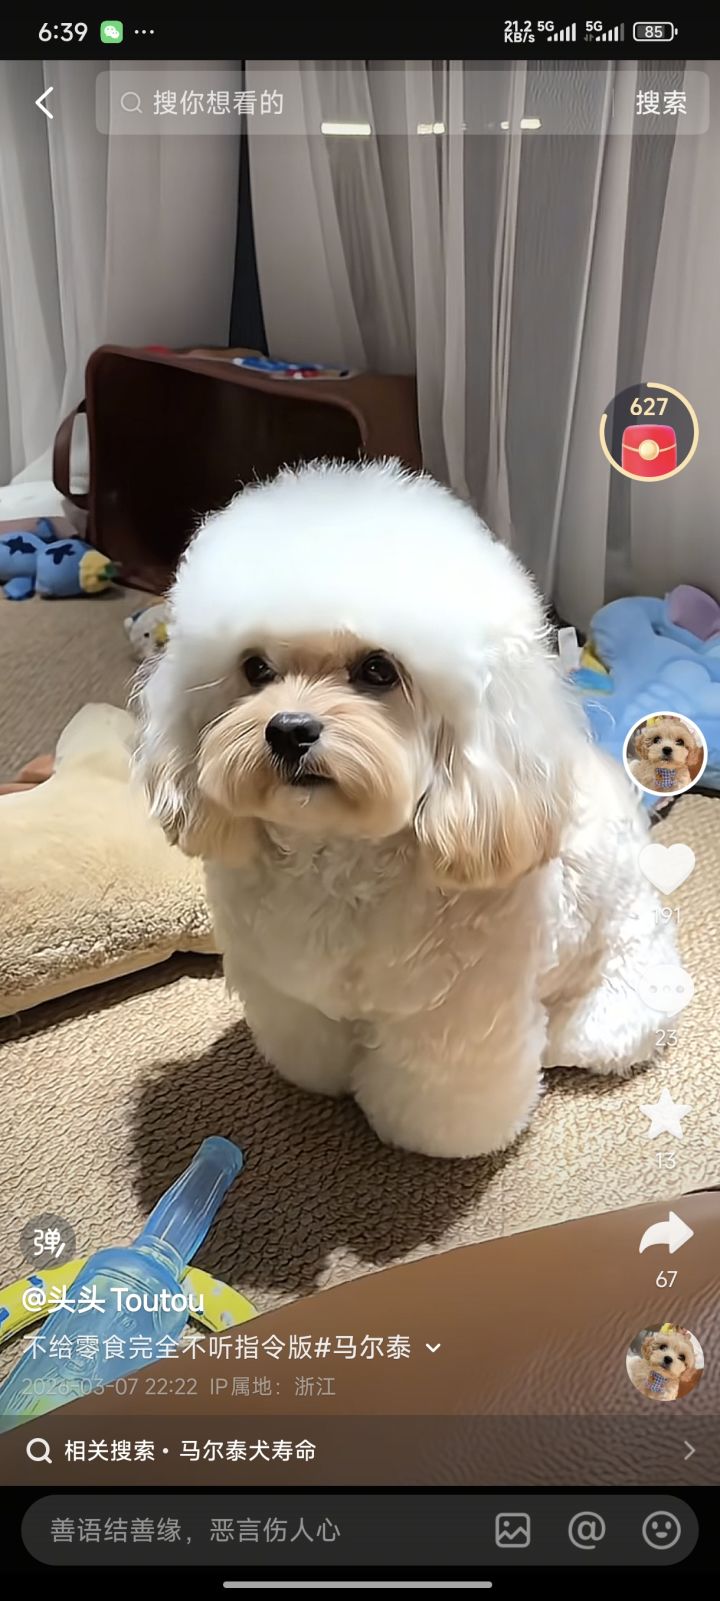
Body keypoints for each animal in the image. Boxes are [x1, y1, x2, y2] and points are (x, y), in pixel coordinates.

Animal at [136, 460, 684, 1159]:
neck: (336, 856)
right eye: (254, 668)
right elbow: (309, 1044)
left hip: (611, 1015)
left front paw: (424, 1141)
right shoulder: (290, 992)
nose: (288, 730)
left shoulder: (453, 1024)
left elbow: (437, 1096)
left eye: (377, 670)